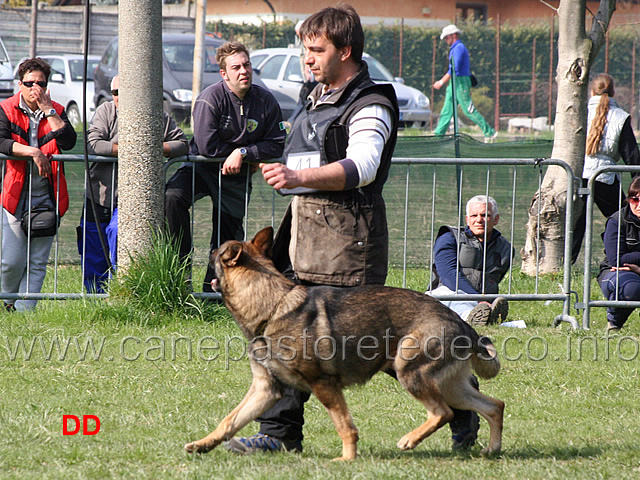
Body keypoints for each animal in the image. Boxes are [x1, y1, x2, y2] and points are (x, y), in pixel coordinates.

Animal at [185, 227, 504, 460]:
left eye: (214, 254)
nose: (206, 251)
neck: (272, 306)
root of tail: (460, 321)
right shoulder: (265, 389)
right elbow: (229, 421)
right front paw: (203, 444)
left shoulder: (324, 385)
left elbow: (345, 426)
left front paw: (347, 459)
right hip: (448, 385)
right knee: (493, 406)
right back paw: (492, 448)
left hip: (409, 372)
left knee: (443, 413)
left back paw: (410, 440)